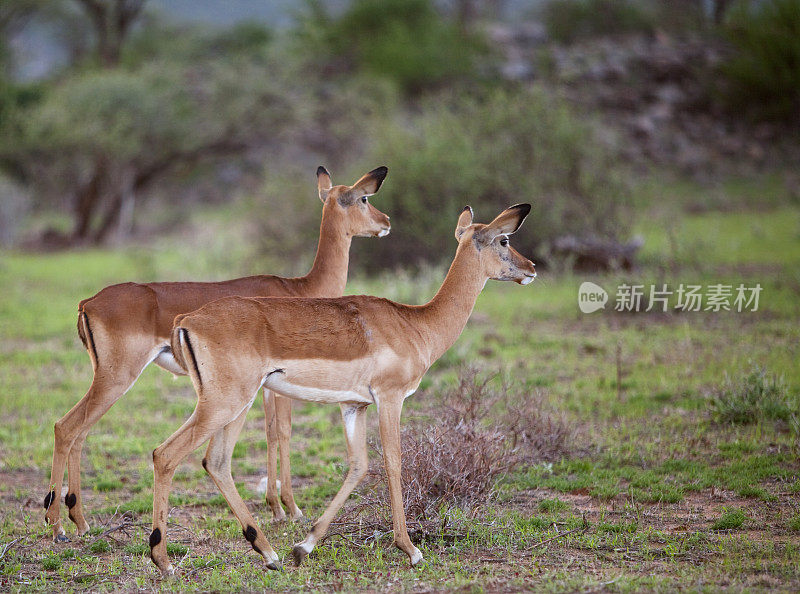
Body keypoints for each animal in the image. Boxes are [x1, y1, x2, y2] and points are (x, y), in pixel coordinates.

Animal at [43, 164, 390, 540]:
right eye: (364, 198)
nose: (385, 221)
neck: (301, 289)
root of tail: (88, 302)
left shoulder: (265, 386)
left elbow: (270, 431)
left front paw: (276, 508)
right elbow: (282, 431)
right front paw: (291, 508)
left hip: (108, 380)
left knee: (79, 432)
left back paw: (79, 520)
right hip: (118, 378)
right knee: (66, 427)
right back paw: (57, 525)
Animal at [150, 201, 536, 572]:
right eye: (504, 239)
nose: (531, 267)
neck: (416, 324)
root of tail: (187, 320)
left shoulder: (354, 406)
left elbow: (359, 465)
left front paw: (303, 547)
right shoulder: (390, 398)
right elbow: (393, 462)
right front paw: (411, 550)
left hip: (237, 407)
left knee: (215, 461)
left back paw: (270, 554)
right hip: (224, 404)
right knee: (165, 454)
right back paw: (165, 561)